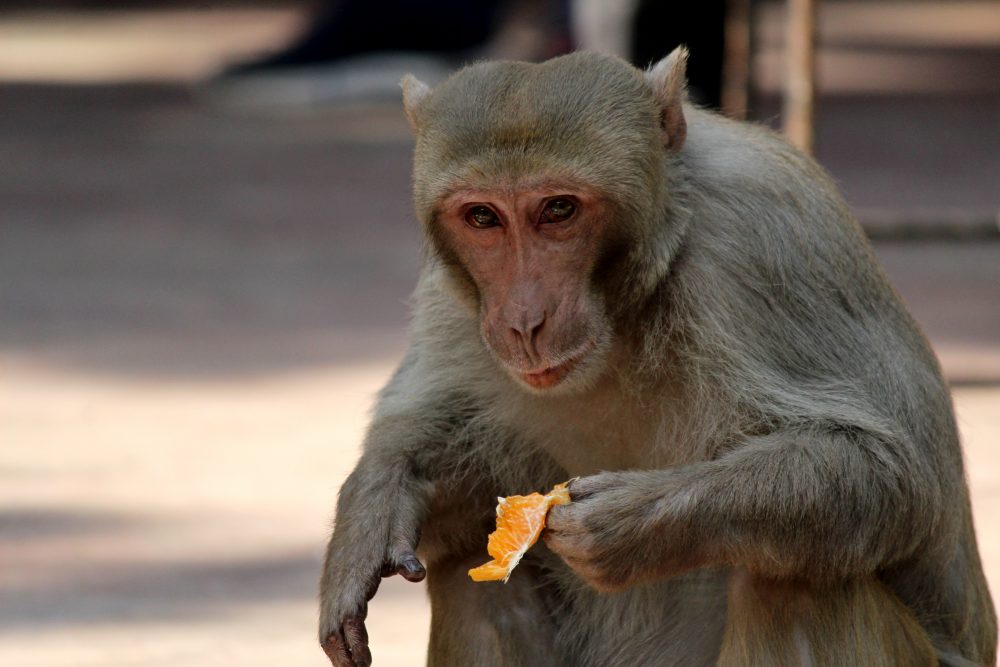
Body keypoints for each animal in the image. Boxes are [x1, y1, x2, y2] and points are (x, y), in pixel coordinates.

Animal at [318, 48, 997, 666]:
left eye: (558, 209)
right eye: (482, 217)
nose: (523, 322)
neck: (628, 310)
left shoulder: (764, 239)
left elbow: (895, 475)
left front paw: (634, 523)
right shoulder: (453, 299)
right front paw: (379, 496)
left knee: (797, 585)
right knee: (469, 572)